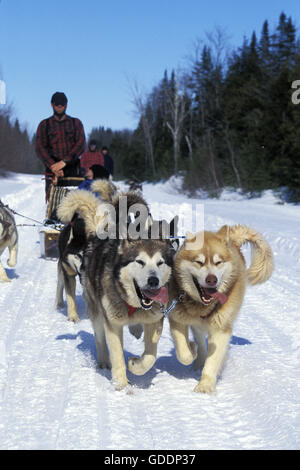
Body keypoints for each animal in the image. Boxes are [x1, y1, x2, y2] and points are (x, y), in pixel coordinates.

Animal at [55, 180, 117, 324]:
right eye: (78, 255)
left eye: (90, 255)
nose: (85, 269)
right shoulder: (69, 273)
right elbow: (70, 297)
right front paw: (73, 316)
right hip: (62, 267)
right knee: (60, 283)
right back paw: (59, 303)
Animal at [169, 226, 274, 394]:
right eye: (199, 262)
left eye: (218, 262)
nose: (211, 279)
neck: (202, 306)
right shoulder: (176, 319)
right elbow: (184, 354)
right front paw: (191, 351)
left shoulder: (221, 330)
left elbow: (212, 361)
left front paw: (205, 385)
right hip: (196, 326)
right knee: (200, 342)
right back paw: (197, 360)